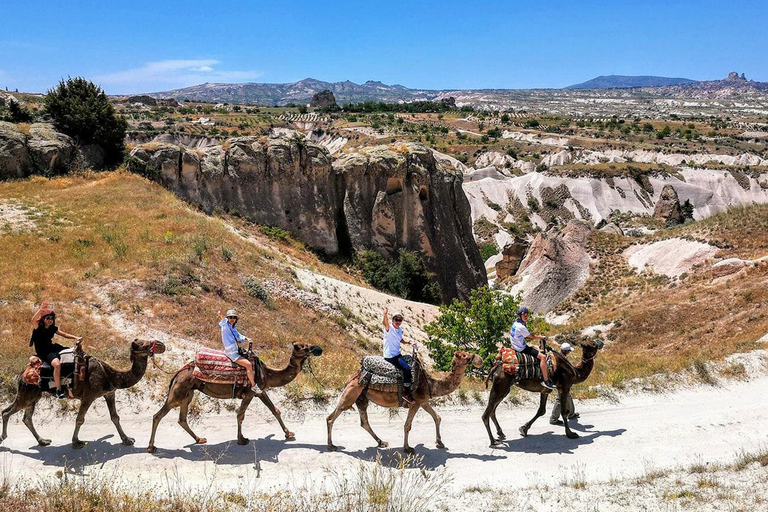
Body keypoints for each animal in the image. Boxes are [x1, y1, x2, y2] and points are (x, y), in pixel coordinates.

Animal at [0, 340, 166, 448]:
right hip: (27, 392)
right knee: (7, 412)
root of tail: (22, 374)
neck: (112, 376)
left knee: (25, 417)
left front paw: (127, 440)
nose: (162, 344)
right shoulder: (89, 396)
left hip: (33, 396)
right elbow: (80, 419)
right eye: (144, 344)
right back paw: (3, 439)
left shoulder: (110, 393)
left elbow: (115, 417)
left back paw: (43, 441)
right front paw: (76, 442)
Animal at [146, 342, 320, 454]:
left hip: (188, 393)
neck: (267, 373)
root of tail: (178, 372)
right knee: (158, 415)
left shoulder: (260, 391)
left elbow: (275, 410)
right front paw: (241, 439)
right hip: (178, 392)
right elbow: (240, 415)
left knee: (182, 418)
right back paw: (151, 447)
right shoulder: (250, 393)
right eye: (304, 347)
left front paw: (289, 434)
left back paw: (199, 439)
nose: (317, 348)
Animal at [328, 350, 484, 454]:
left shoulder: (423, 401)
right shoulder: (415, 403)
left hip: (362, 397)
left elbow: (437, 417)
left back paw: (381, 442)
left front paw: (439, 442)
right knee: (331, 417)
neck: (430, 383)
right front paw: (408, 448)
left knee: (364, 422)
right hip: (351, 392)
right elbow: (407, 426)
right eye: (465, 355)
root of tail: (352, 376)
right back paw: (331, 446)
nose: (479, 359)